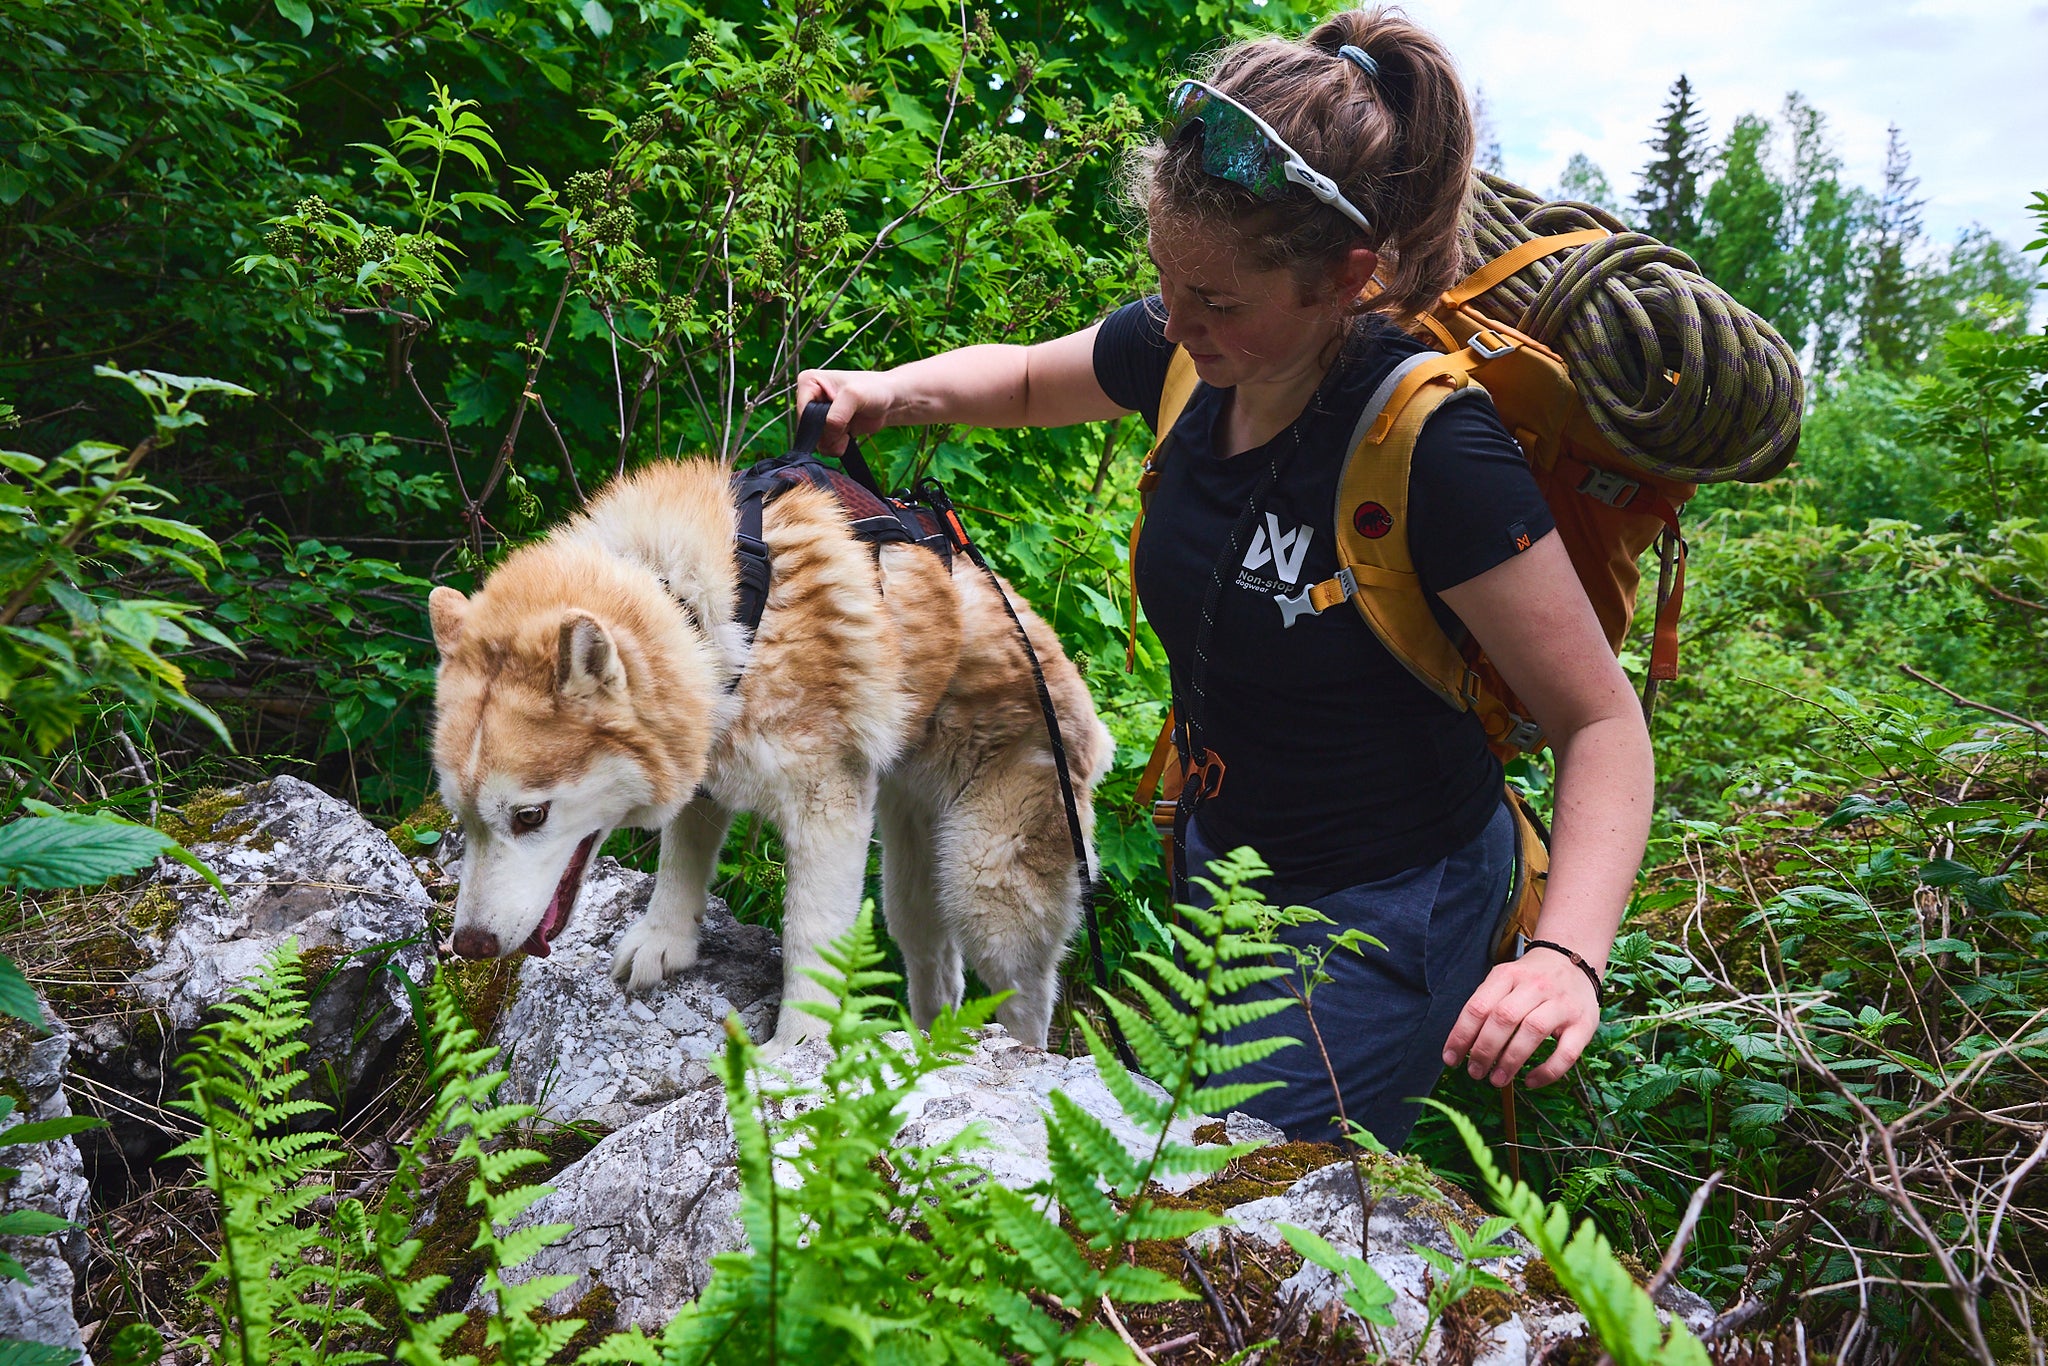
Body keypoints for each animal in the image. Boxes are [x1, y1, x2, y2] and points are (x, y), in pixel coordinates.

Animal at [421, 454, 1114, 1056]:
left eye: (530, 817)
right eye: (463, 819)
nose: (471, 947)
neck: (717, 615)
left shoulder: (827, 807)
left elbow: (810, 934)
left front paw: (797, 1048)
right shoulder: (704, 767)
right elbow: (681, 862)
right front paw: (664, 941)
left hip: (986, 890)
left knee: (1026, 999)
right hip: (910, 883)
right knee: (938, 968)